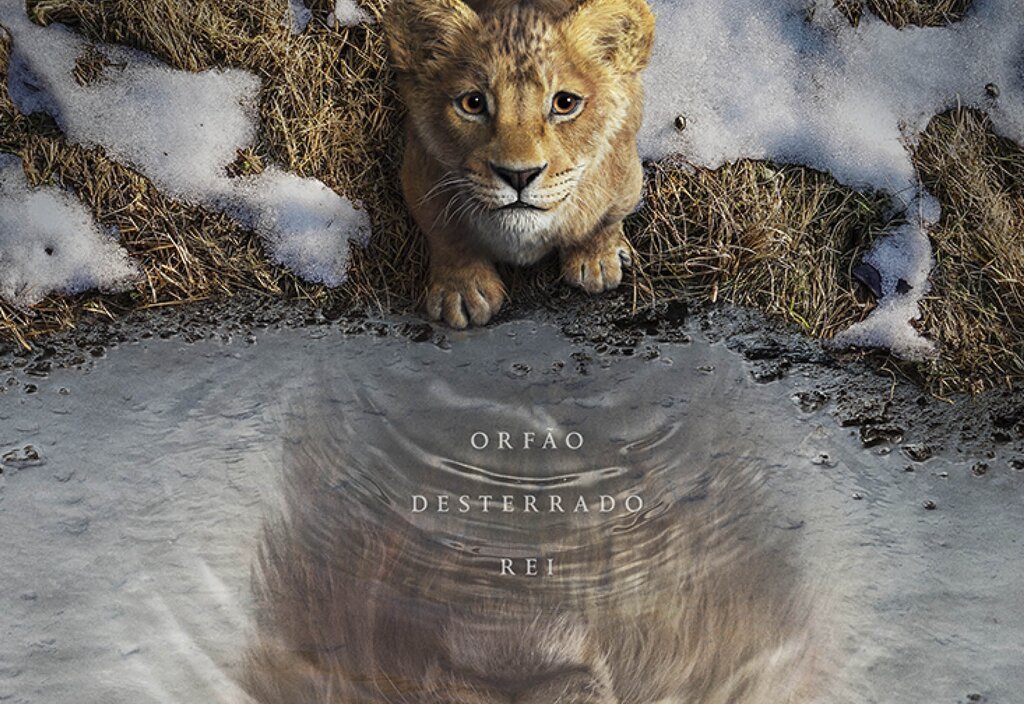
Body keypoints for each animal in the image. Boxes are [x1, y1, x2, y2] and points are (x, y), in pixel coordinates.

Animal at [385, 0, 655, 328]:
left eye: (565, 103)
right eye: (472, 103)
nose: (519, 175)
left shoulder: (626, 174)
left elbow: (605, 219)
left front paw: (596, 261)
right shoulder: (419, 173)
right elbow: (447, 234)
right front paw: (461, 291)